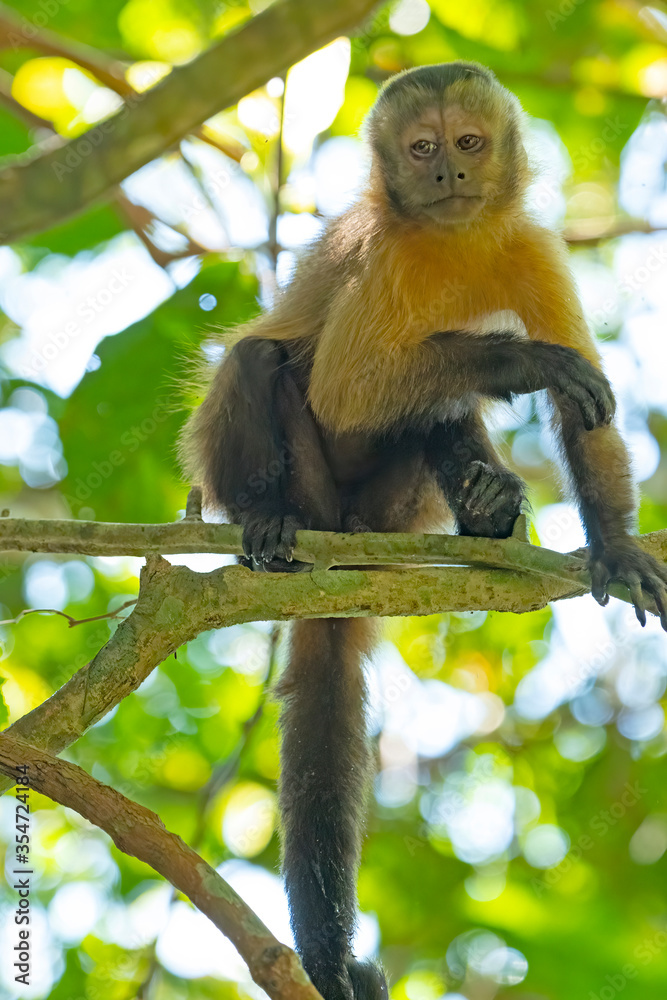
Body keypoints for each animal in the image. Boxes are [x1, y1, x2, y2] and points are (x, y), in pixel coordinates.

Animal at [180, 62, 667, 1000]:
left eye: (468, 142)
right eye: (420, 149)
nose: (447, 172)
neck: (453, 240)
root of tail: (343, 543)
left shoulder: (530, 247)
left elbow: (584, 421)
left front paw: (617, 547)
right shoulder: (385, 253)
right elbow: (346, 389)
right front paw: (518, 362)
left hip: (394, 513)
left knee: (431, 416)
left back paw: (484, 506)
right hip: (296, 487)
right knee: (266, 361)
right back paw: (270, 520)